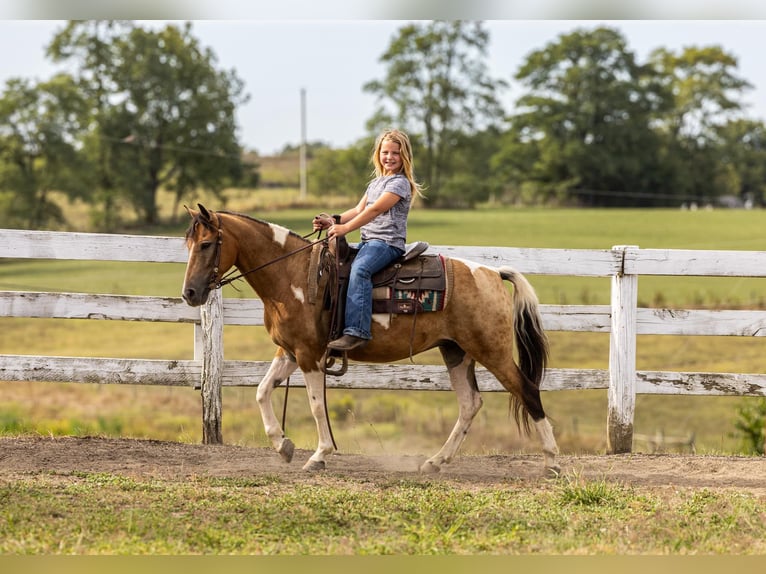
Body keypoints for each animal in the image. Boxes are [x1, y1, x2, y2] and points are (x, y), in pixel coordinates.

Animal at [183, 206, 560, 476]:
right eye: (188, 244)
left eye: (206, 244)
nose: (189, 293)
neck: (293, 275)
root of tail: (493, 273)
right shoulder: (290, 351)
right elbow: (262, 392)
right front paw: (283, 446)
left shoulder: (309, 355)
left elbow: (317, 405)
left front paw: (319, 455)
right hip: (456, 351)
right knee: (470, 404)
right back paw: (435, 462)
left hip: (491, 350)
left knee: (527, 390)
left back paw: (553, 462)